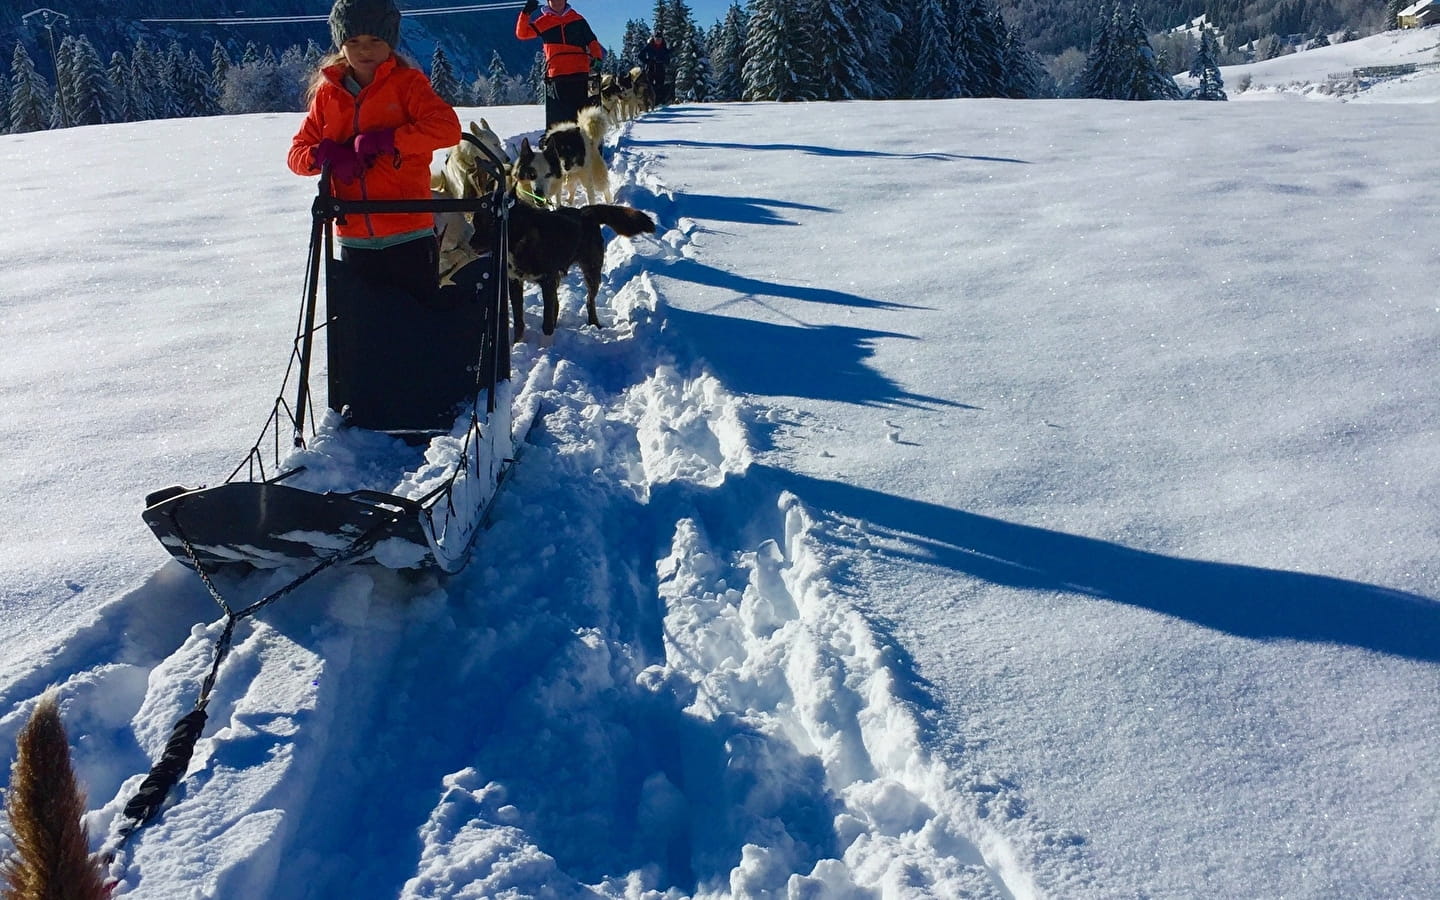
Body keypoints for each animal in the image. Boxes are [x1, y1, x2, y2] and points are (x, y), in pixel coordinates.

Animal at [469, 191, 656, 338]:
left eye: (490, 224)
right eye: (475, 223)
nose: (470, 244)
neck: (521, 239)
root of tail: (586, 212)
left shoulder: (547, 280)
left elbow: (546, 321)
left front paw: (546, 344)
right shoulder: (515, 282)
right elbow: (519, 321)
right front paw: (518, 343)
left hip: (591, 272)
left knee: (589, 301)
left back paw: (594, 323)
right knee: (558, 304)